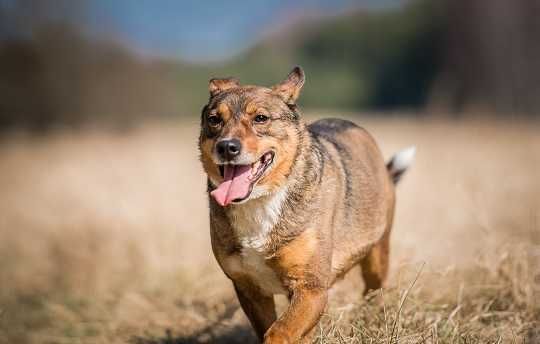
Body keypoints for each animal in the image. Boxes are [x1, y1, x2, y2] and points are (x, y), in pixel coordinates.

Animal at [198, 66, 414, 342]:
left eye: (261, 118)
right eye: (214, 119)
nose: (226, 147)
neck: (262, 201)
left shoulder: (311, 288)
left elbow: (278, 332)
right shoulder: (250, 290)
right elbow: (270, 328)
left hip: (377, 255)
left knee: (374, 293)